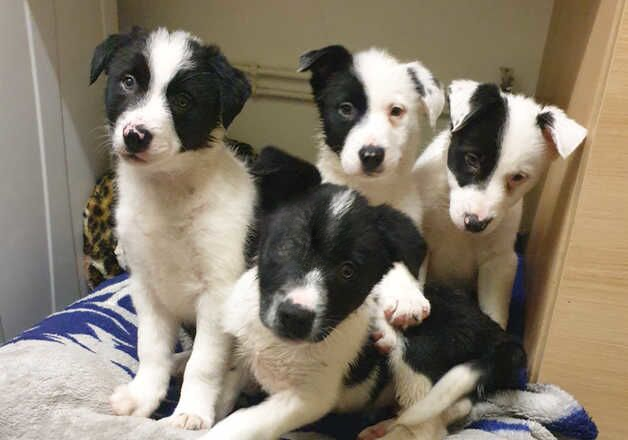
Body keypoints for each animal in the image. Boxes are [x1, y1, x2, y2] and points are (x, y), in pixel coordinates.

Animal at [89, 28, 255, 430]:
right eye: (128, 81)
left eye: (182, 101)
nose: (135, 136)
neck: (168, 191)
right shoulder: (146, 286)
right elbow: (150, 348)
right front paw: (143, 397)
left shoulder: (218, 293)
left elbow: (206, 363)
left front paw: (192, 411)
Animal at [201, 150, 524, 438]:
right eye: (289, 245)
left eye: (348, 271)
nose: (295, 316)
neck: (280, 346)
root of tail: (493, 331)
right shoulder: (241, 357)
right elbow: (223, 399)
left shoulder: (309, 397)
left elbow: (242, 423)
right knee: (457, 408)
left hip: (417, 353)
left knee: (429, 428)